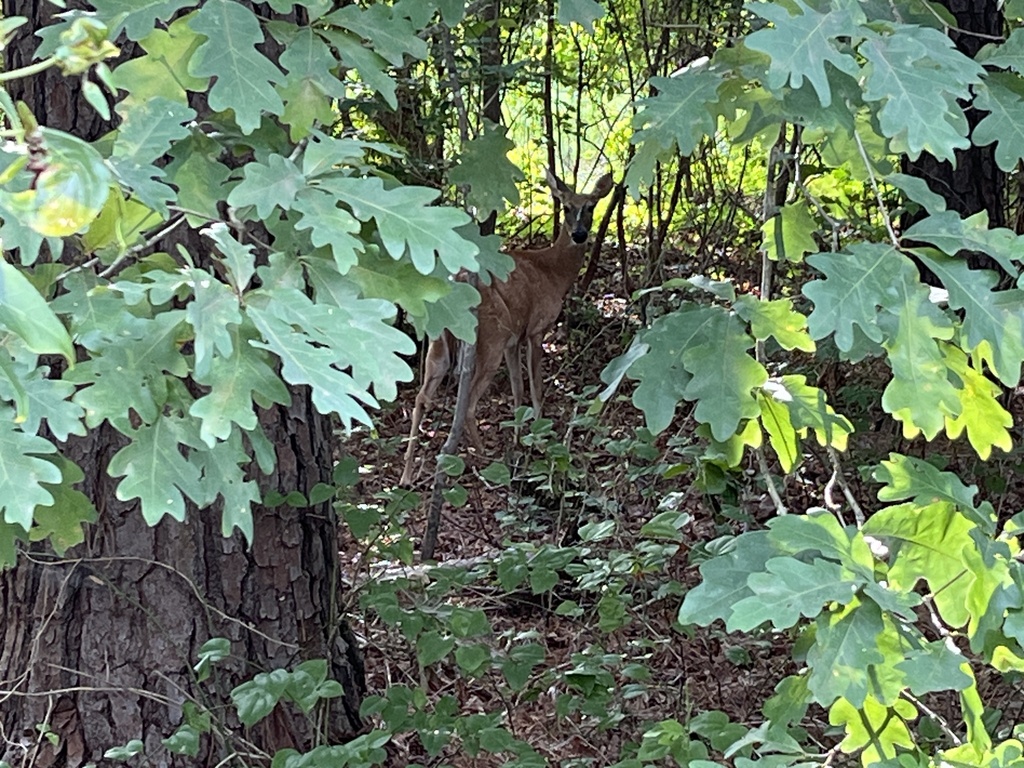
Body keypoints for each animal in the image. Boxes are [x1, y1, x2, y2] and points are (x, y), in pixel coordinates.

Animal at [400, 168, 615, 486]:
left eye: (590, 207)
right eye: (565, 207)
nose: (579, 234)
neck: (553, 272)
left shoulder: (515, 338)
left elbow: (517, 389)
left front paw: (519, 437)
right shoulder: (536, 329)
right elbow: (535, 387)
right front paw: (540, 438)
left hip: (440, 341)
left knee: (422, 397)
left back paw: (407, 475)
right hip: (491, 338)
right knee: (467, 404)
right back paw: (485, 459)